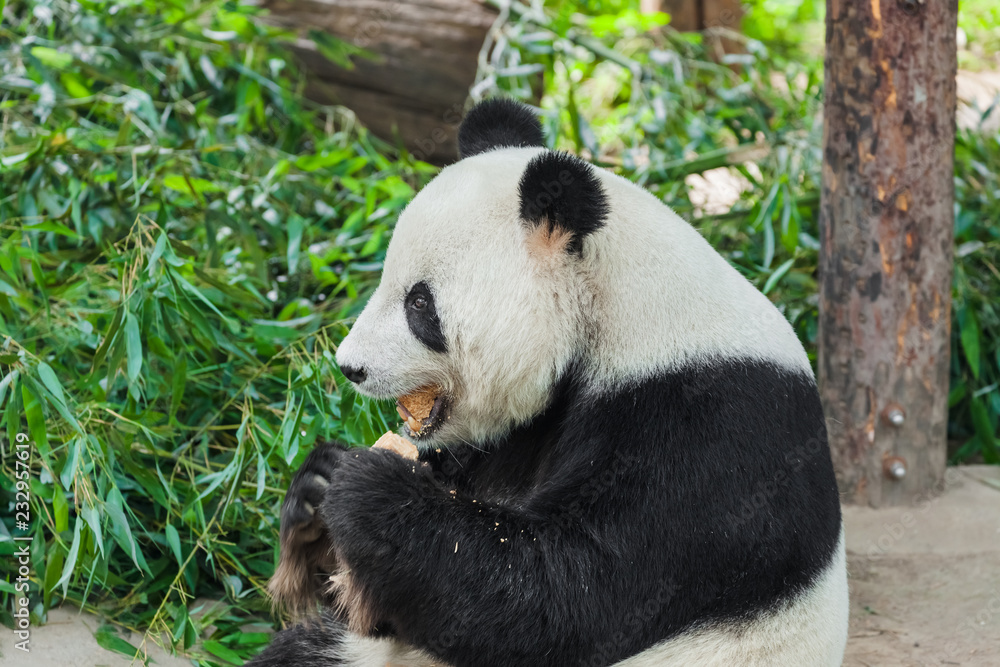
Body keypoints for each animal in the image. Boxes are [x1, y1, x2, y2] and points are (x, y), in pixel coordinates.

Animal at [248, 98, 848, 667]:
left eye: (419, 303)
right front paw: (318, 485)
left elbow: (567, 598)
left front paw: (372, 492)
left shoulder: (706, 433)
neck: (622, 313)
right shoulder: (528, 430)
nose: (351, 367)